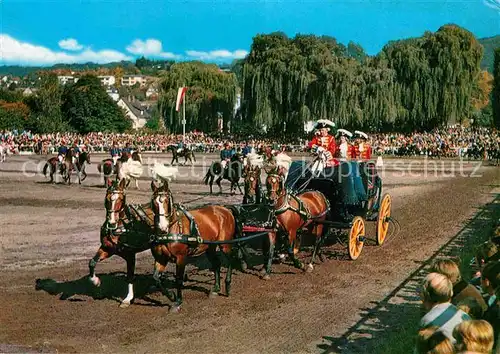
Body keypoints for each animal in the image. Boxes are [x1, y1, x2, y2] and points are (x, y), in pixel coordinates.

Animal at [87, 178, 154, 308]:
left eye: (121, 199)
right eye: (107, 198)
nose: (112, 223)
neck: (120, 228)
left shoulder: (130, 254)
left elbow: (130, 276)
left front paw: (127, 299)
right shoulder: (107, 249)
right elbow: (92, 262)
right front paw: (95, 281)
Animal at [149, 169, 241, 312]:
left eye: (167, 201)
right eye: (154, 203)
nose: (162, 226)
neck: (171, 229)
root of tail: (225, 209)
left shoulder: (181, 258)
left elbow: (179, 279)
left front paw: (178, 301)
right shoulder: (161, 259)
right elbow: (156, 279)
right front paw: (171, 295)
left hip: (224, 244)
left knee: (230, 259)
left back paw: (227, 285)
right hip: (210, 247)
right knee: (217, 264)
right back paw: (216, 289)